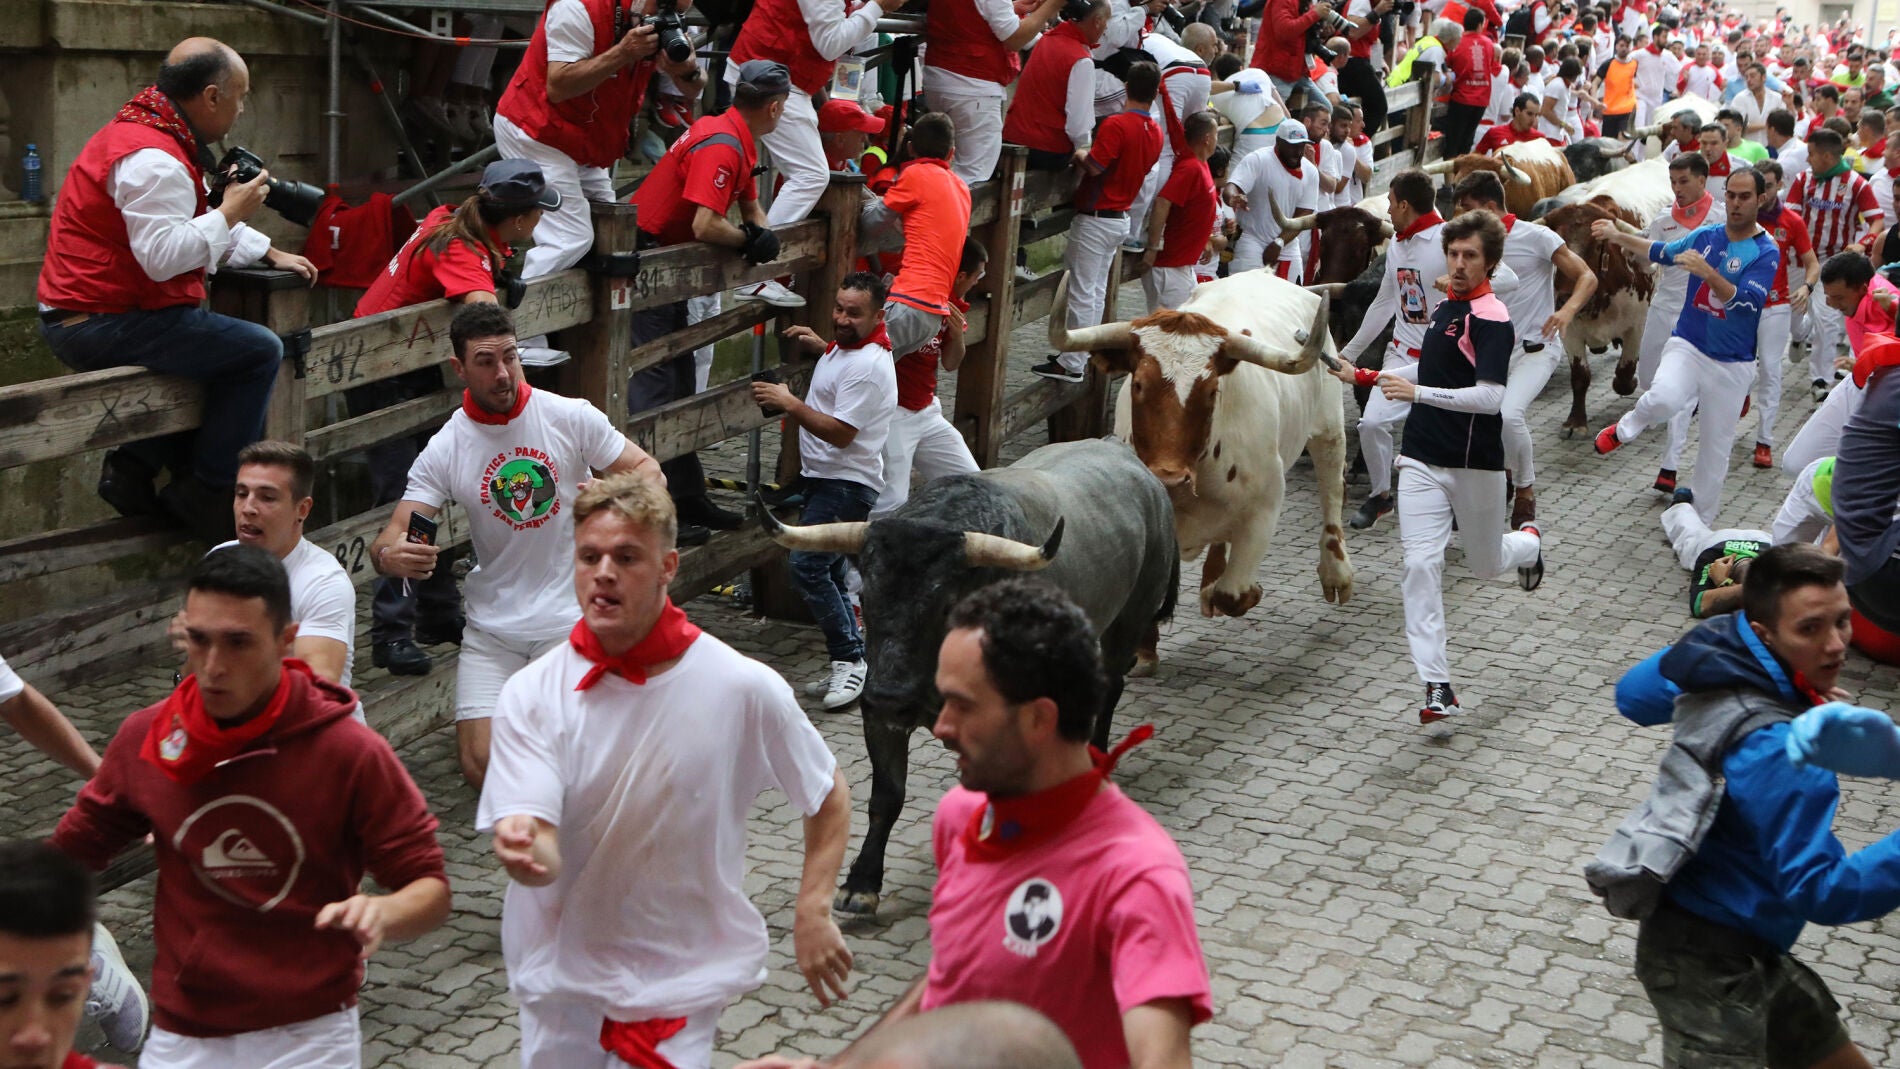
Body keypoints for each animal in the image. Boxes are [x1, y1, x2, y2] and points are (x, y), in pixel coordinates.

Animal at [763, 438, 1178, 915]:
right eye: (865, 595)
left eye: (947, 605)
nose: (891, 696)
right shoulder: (880, 717)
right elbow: (887, 794)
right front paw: (862, 881)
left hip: (1126, 625)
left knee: (1109, 687)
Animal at [1048, 271, 1360, 660]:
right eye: (1138, 385)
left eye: (1212, 391)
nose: (1169, 479)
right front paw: (1146, 647)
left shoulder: (1264, 509)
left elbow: (1233, 594)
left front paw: (1233, 592)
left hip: (1328, 420)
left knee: (1331, 485)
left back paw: (1336, 572)